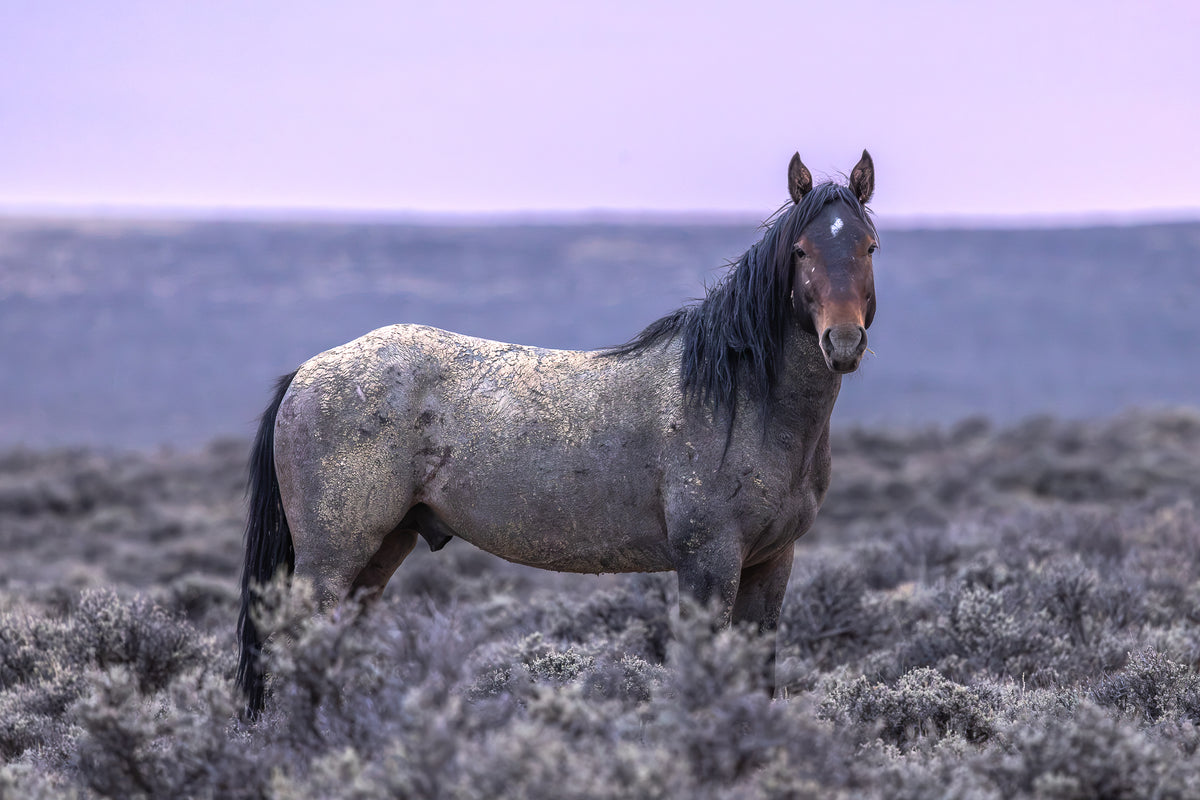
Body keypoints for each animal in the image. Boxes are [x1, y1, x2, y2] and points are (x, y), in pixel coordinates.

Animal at [237, 150, 879, 713]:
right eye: (801, 250)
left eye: (870, 246)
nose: (843, 342)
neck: (743, 400)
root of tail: (308, 372)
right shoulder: (709, 563)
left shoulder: (771, 563)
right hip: (331, 561)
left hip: (380, 552)